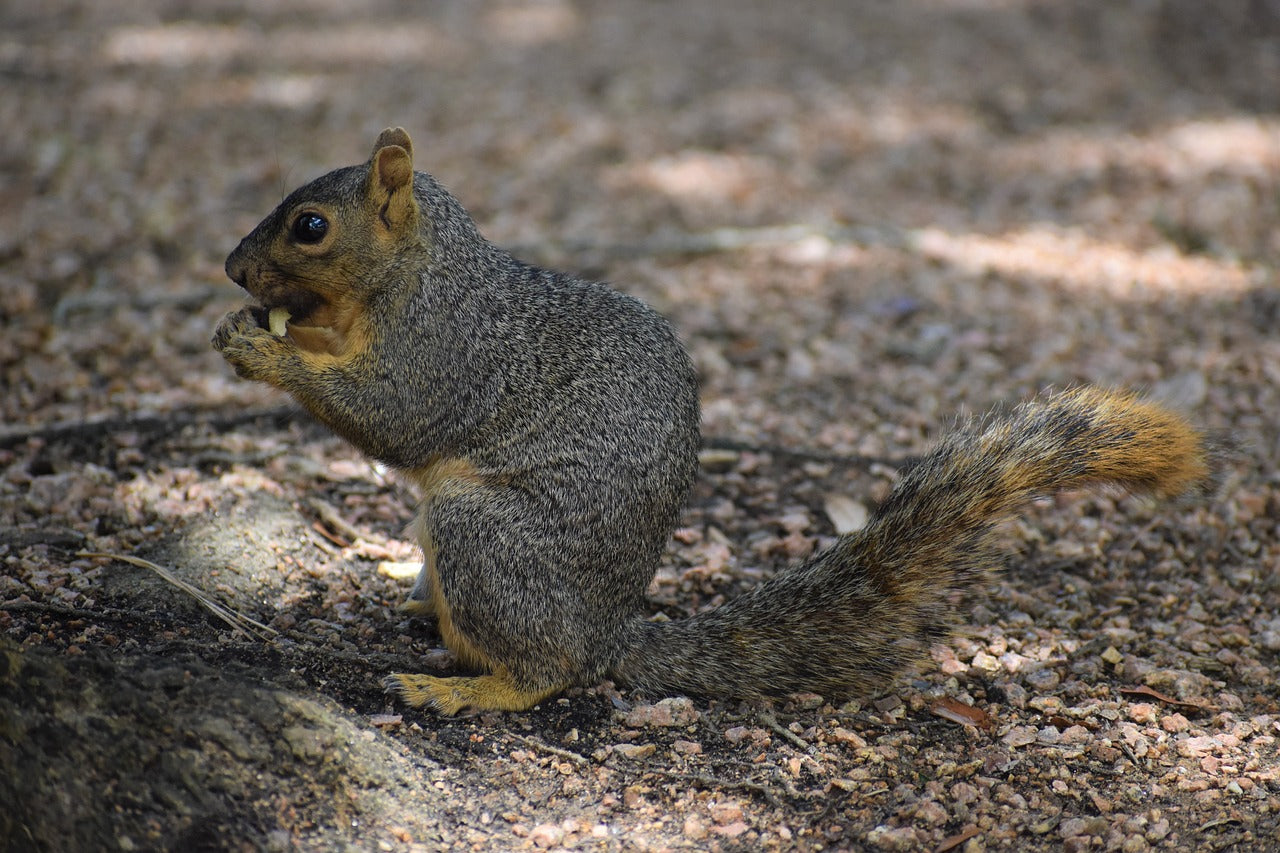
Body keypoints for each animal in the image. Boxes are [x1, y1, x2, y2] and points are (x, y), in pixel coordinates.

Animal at [214, 128, 1223, 714]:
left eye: (310, 226)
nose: (230, 269)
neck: (416, 272)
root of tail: (610, 630)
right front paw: (260, 327)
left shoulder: (449, 349)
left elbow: (396, 419)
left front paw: (267, 352)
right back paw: (417, 608)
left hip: (484, 532)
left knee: (548, 670)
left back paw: (461, 687)